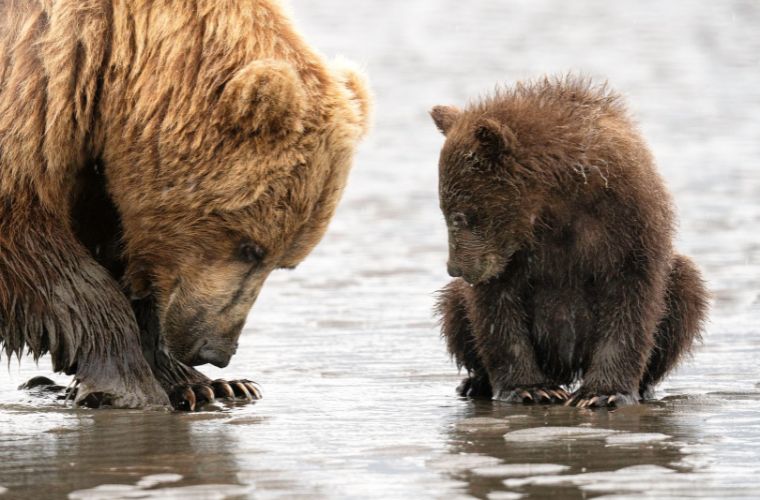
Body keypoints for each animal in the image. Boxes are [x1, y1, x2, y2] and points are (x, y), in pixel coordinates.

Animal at [0, 0, 371, 409]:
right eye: (250, 248)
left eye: (285, 263)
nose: (215, 351)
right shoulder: (34, 98)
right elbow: (42, 255)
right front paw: (130, 384)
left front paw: (208, 385)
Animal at [431, 76, 708, 408]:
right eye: (445, 211)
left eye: (459, 215)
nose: (456, 268)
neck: (557, 200)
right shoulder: (509, 253)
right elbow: (497, 307)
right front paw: (530, 388)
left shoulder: (628, 221)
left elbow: (632, 298)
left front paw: (602, 393)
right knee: (453, 307)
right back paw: (476, 382)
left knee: (685, 287)